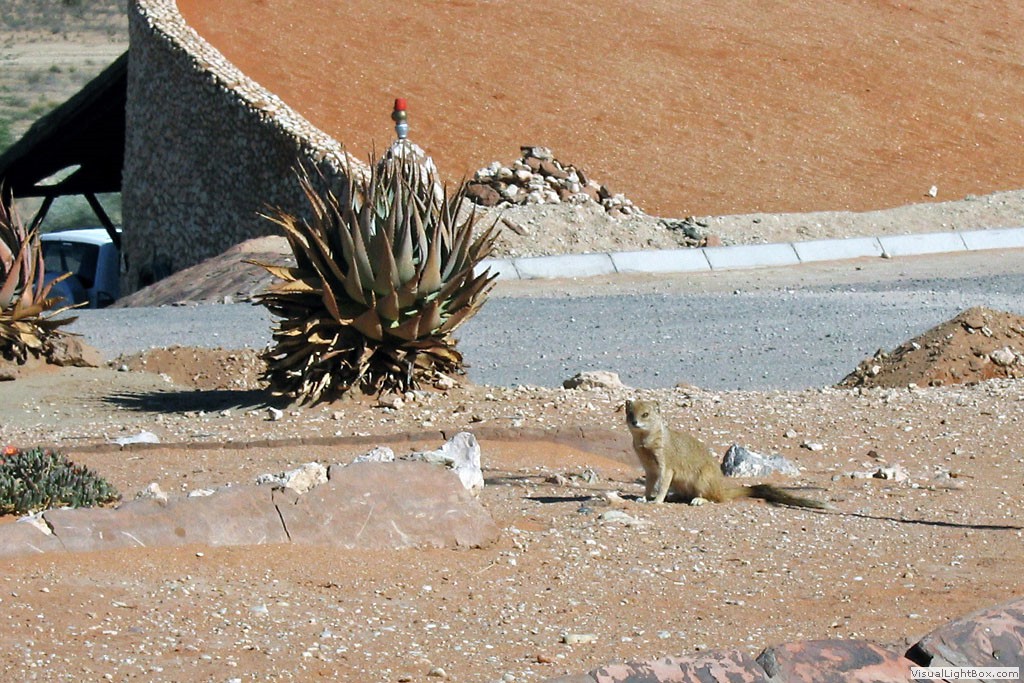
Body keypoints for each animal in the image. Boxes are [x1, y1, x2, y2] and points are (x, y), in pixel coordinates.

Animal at [624, 399, 828, 509]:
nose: (634, 422)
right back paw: (676, 497)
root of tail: (721, 487)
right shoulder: (649, 468)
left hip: (703, 478)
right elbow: (649, 484)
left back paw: (698, 500)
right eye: (630, 413)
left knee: (714, 498)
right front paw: (644, 497)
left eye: (645, 414)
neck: (646, 445)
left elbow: (662, 484)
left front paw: (657, 500)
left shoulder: (666, 464)